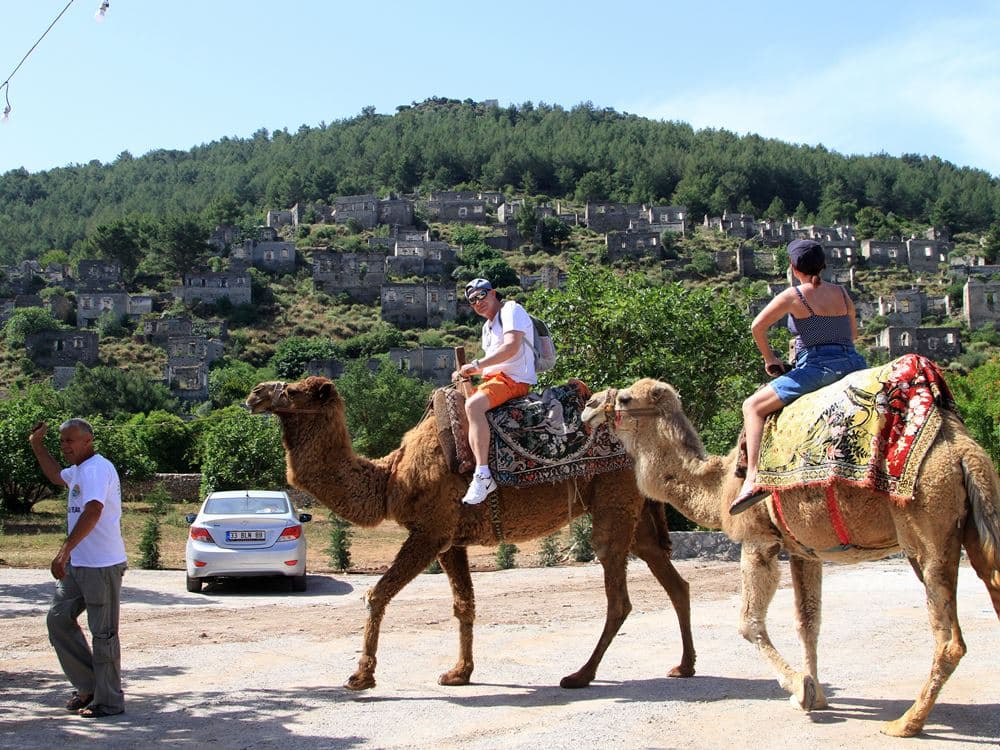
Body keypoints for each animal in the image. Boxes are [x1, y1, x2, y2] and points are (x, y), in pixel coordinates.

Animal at [246, 376, 697, 691]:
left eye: (292, 390)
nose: (254, 394)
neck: (391, 477)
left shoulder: (429, 531)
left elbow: (376, 594)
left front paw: (360, 677)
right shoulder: (451, 540)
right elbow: (464, 604)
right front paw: (459, 672)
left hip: (612, 503)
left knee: (618, 597)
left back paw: (580, 675)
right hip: (636, 513)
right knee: (674, 581)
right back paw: (684, 665)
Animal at [580, 378, 1000, 737]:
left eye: (624, 399)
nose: (588, 406)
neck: (720, 486)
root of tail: (962, 451)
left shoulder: (757, 541)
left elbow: (748, 622)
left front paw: (799, 688)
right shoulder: (804, 550)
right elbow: (807, 623)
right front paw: (817, 693)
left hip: (926, 532)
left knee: (948, 638)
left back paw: (906, 723)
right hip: (975, 523)